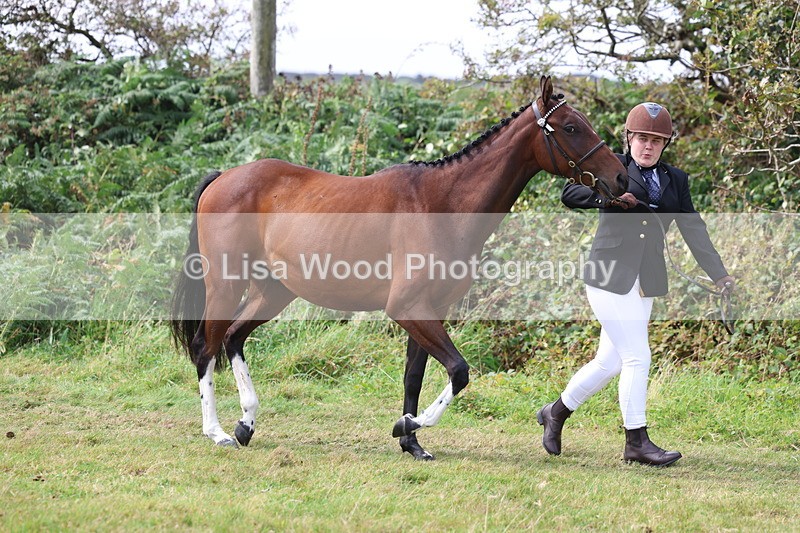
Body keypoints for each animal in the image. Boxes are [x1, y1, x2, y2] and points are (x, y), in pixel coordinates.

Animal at [170, 76, 627, 460]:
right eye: (570, 127)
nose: (622, 179)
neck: (441, 204)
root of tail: (223, 177)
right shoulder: (408, 309)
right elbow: (459, 372)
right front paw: (407, 426)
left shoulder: (428, 311)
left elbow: (415, 378)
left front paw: (412, 441)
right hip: (226, 284)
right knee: (205, 347)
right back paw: (217, 432)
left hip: (274, 292)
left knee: (233, 338)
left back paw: (246, 424)